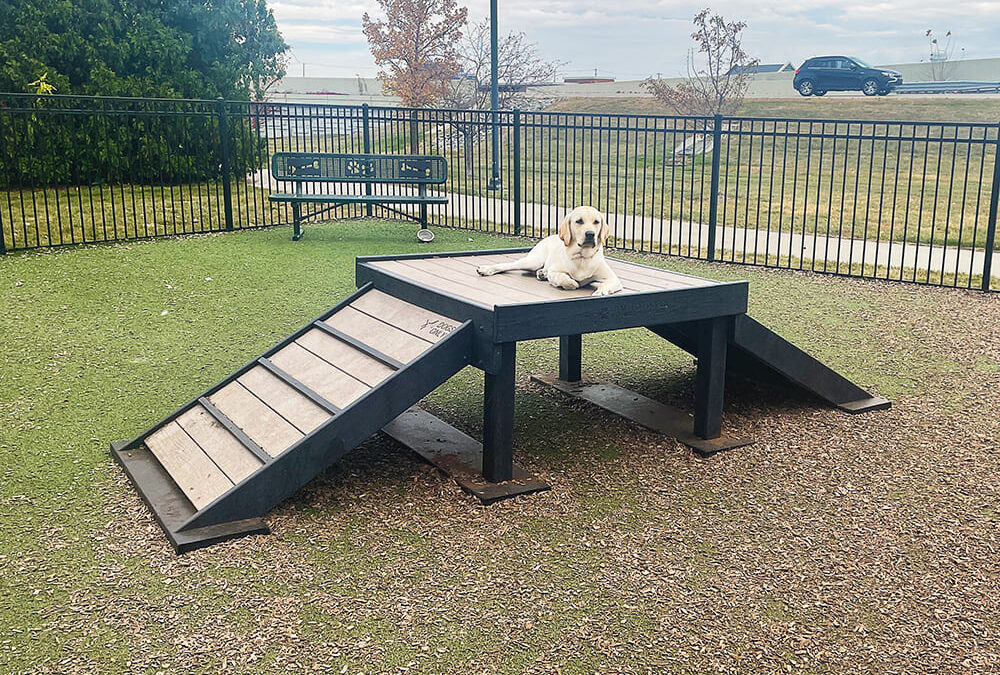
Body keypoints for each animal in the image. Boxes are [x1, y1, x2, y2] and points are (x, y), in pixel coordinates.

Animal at [476, 206, 623, 296]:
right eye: (579, 221)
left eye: (596, 222)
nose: (590, 234)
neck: (581, 257)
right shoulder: (555, 271)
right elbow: (564, 279)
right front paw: (571, 283)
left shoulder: (613, 279)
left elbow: (605, 284)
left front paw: (601, 291)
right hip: (533, 260)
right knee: (508, 265)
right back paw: (486, 269)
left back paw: (542, 274)